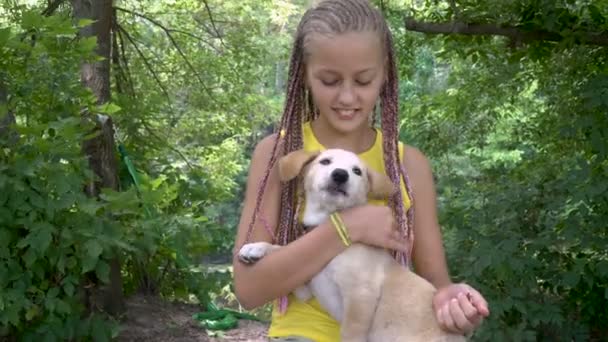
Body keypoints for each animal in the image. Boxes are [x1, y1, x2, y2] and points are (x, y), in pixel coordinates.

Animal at [239, 150, 466, 342]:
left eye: (357, 171)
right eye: (325, 161)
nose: (340, 175)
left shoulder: (361, 294)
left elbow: (350, 332)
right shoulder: (306, 287)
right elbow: (284, 247)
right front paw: (256, 248)